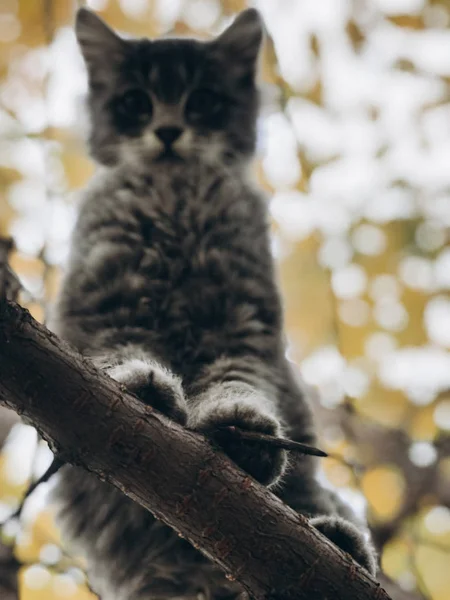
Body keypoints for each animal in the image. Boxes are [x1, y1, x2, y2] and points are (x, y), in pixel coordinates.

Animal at [49, 5, 378, 600]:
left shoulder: (242, 322)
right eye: (136, 103)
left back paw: (342, 542)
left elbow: (237, 381)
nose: (168, 132)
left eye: (201, 101)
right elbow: (118, 355)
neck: (176, 191)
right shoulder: (106, 307)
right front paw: (140, 387)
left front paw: (241, 427)